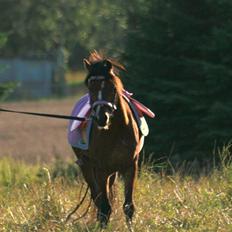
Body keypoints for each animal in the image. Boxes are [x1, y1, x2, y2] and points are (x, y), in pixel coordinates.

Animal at [72, 51, 144, 228]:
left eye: (112, 88)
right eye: (90, 87)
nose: (101, 118)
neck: (116, 131)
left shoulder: (130, 167)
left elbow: (128, 206)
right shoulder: (100, 170)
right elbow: (104, 207)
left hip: (112, 173)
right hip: (88, 168)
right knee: (98, 200)